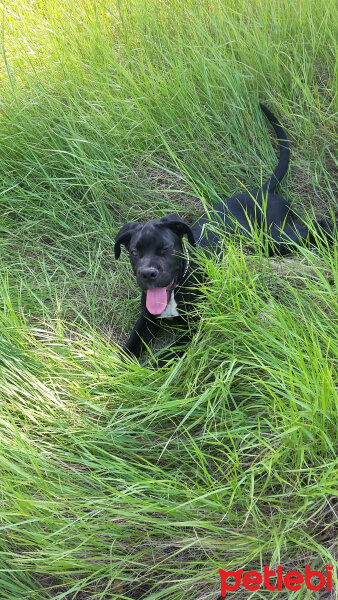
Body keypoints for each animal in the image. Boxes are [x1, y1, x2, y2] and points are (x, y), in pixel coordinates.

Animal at [115, 105, 334, 364]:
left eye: (165, 248)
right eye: (134, 252)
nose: (147, 274)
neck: (177, 287)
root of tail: (262, 190)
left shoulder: (193, 330)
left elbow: (163, 359)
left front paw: (147, 372)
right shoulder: (146, 318)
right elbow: (129, 347)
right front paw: (118, 368)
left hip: (279, 237)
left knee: (321, 225)